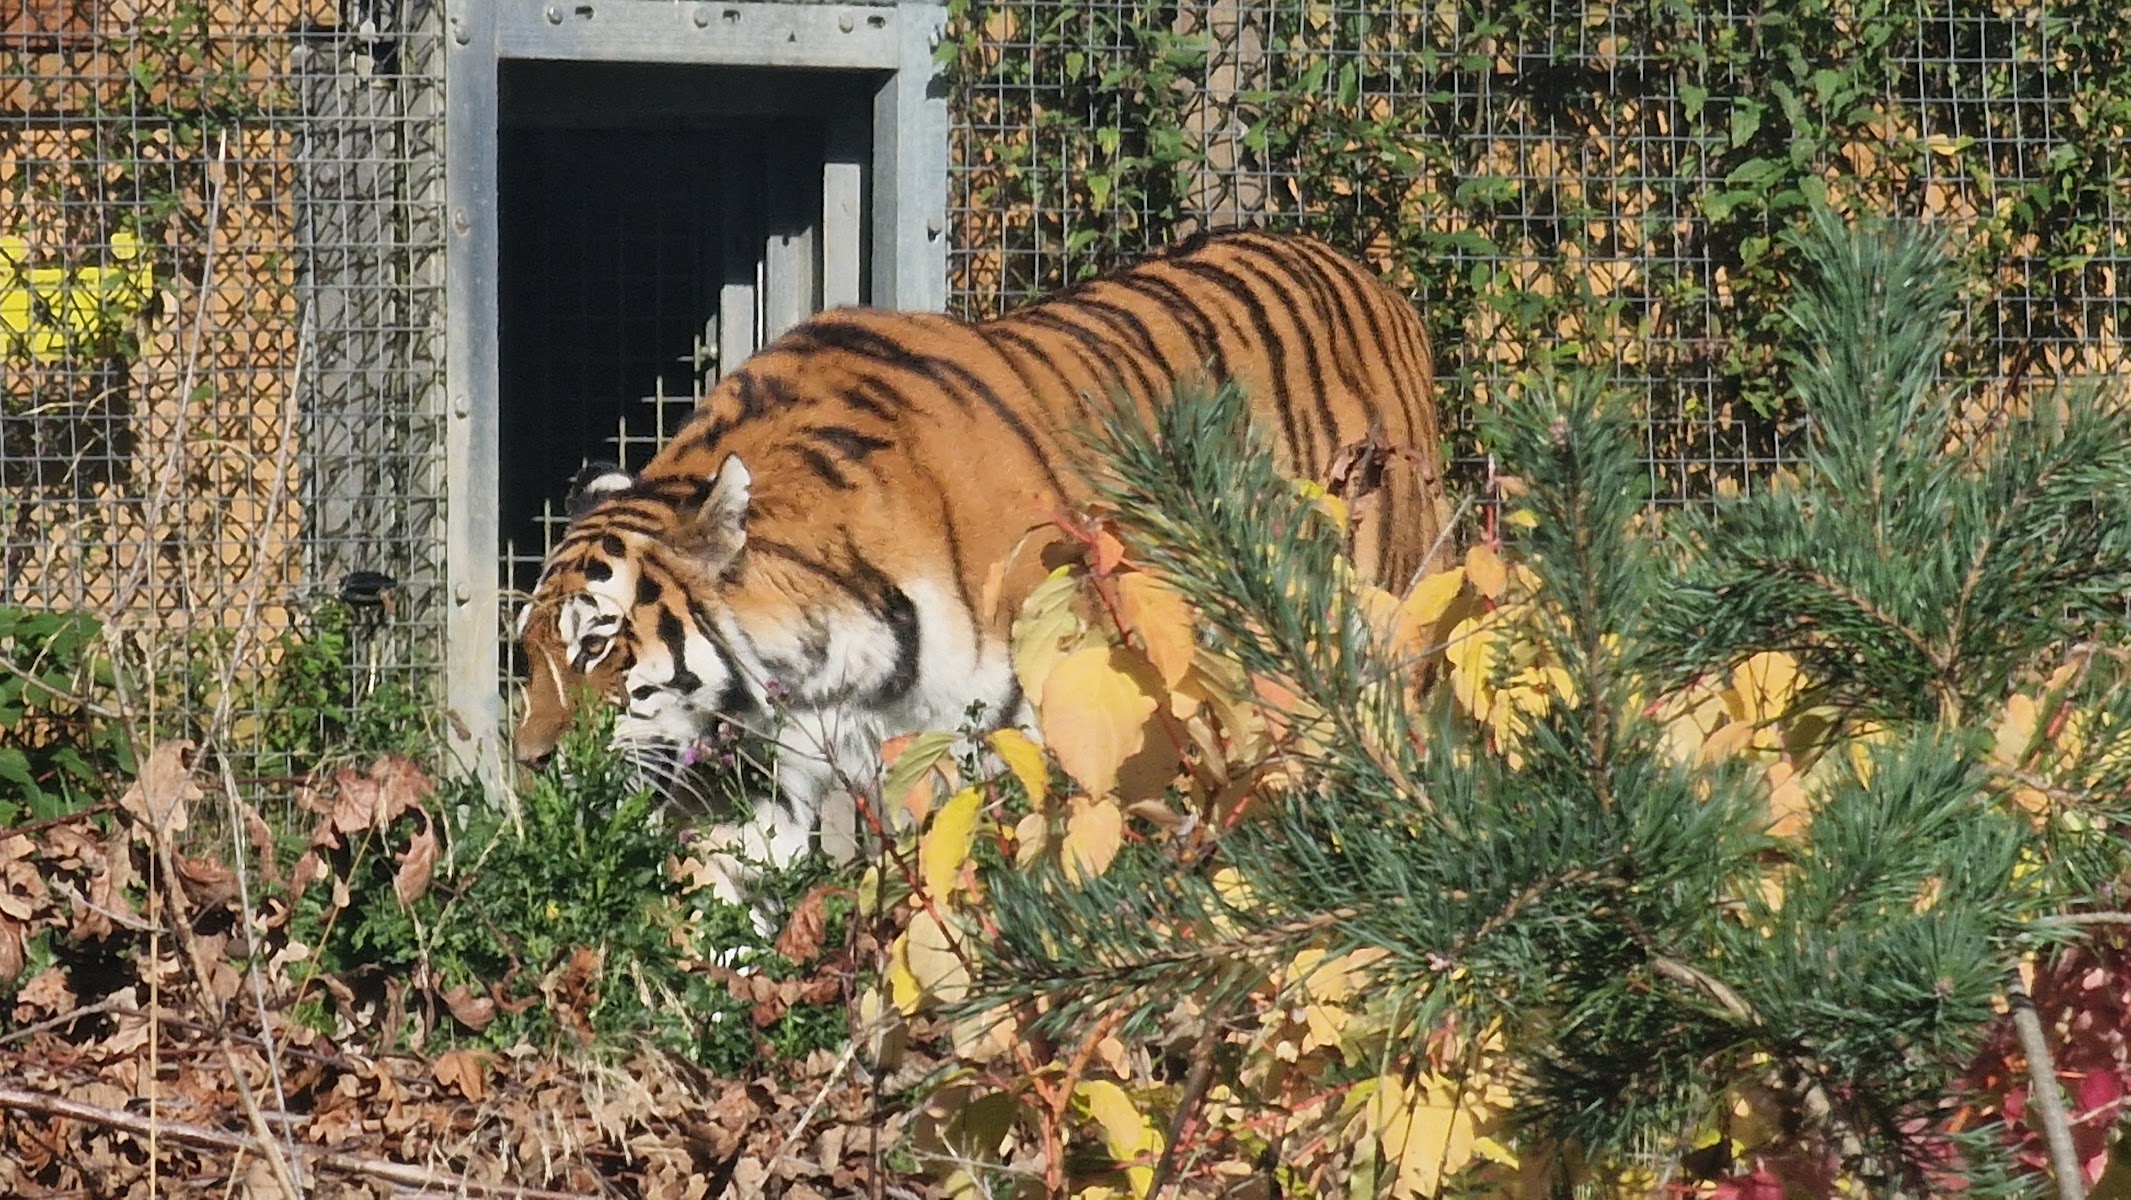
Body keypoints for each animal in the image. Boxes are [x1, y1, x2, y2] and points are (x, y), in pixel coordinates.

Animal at [513, 228, 1453, 902]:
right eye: (529, 653)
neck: (822, 664)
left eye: (597, 644)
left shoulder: (1031, 727)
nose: (528, 763)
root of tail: (1370, 277)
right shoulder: (784, 774)